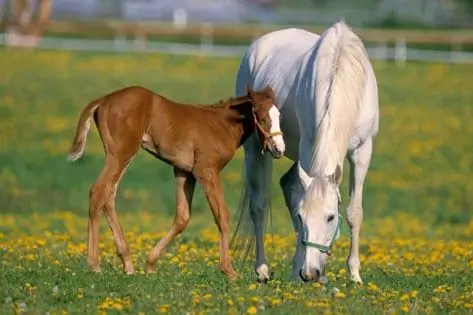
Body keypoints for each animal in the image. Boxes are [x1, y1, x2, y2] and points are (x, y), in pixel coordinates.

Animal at [66, 85, 284, 280]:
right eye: (262, 119)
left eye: (280, 117)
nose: (279, 149)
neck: (219, 124)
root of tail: (103, 100)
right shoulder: (207, 171)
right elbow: (222, 215)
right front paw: (228, 271)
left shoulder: (184, 172)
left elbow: (182, 217)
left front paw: (150, 264)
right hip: (121, 153)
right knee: (98, 191)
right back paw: (94, 264)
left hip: (122, 155)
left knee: (109, 195)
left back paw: (127, 264)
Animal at [232, 21, 380, 286]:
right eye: (302, 217)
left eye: (331, 217)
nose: (310, 273)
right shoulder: (309, 147)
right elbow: (296, 201)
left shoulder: (362, 151)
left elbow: (354, 212)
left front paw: (354, 274)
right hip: (256, 150)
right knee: (259, 205)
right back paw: (263, 269)